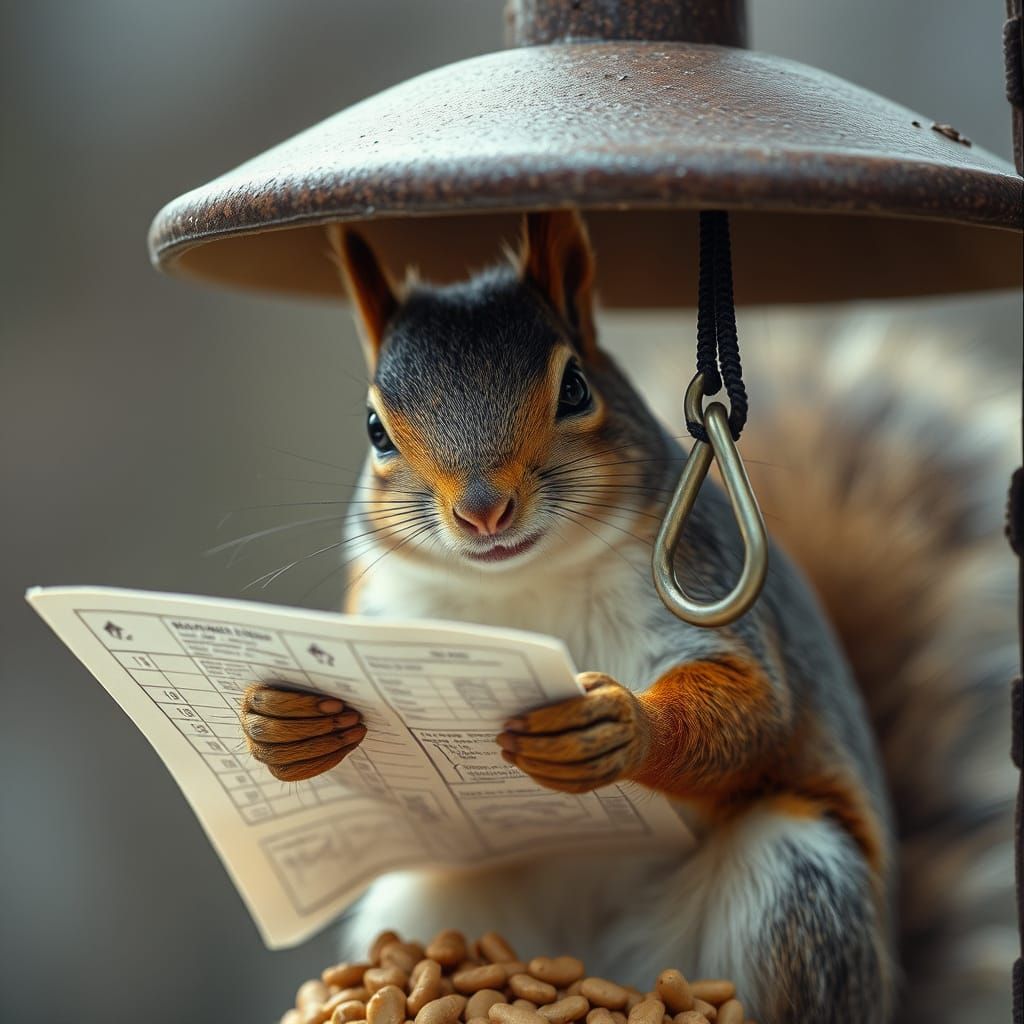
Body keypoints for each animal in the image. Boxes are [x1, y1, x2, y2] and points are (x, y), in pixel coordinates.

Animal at [240, 211, 1016, 1024]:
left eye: (576, 388)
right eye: (374, 429)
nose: (483, 512)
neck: (524, 582)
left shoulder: (698, 573)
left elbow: (755, 705)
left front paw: (621, 725)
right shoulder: (389, 601)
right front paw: (281, 720)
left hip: (796, 883)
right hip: (432, 901)